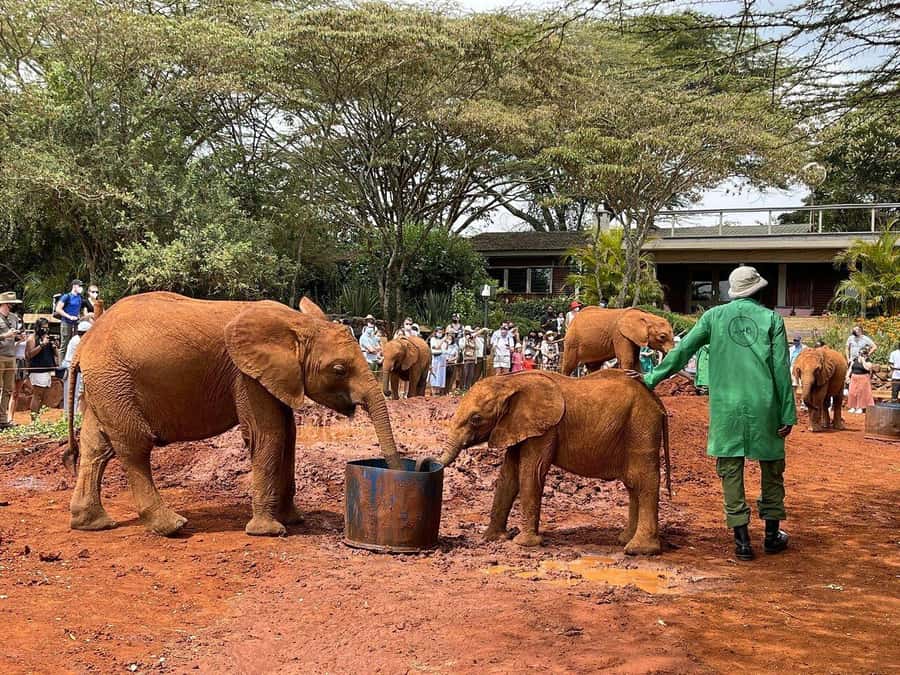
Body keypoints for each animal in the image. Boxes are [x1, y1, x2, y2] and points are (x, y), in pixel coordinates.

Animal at [63, 291, 403, 537]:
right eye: (339, 369)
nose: (400, 474)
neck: (295, 324)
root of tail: (85, 343)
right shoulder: (246, 375)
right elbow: (268, 434)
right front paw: (269, 531)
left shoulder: (272, 375)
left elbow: (288, 434)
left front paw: (293, 520)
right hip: (113, 379)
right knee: (134, 446)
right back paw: (172, 526)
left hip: (105, 384)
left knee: (96, 447)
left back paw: (93, 524)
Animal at [438, 369, 671, 555]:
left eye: (476, 419)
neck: (510, 381)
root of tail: (657, 401)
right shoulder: (517, 426)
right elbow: (508, 476)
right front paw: (493, 538)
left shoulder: (545, 429)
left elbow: (531, 473)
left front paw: (524, 544)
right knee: (633, 483)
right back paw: (625, 538)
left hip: (641, 425)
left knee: (643, 480)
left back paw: (639, 549)